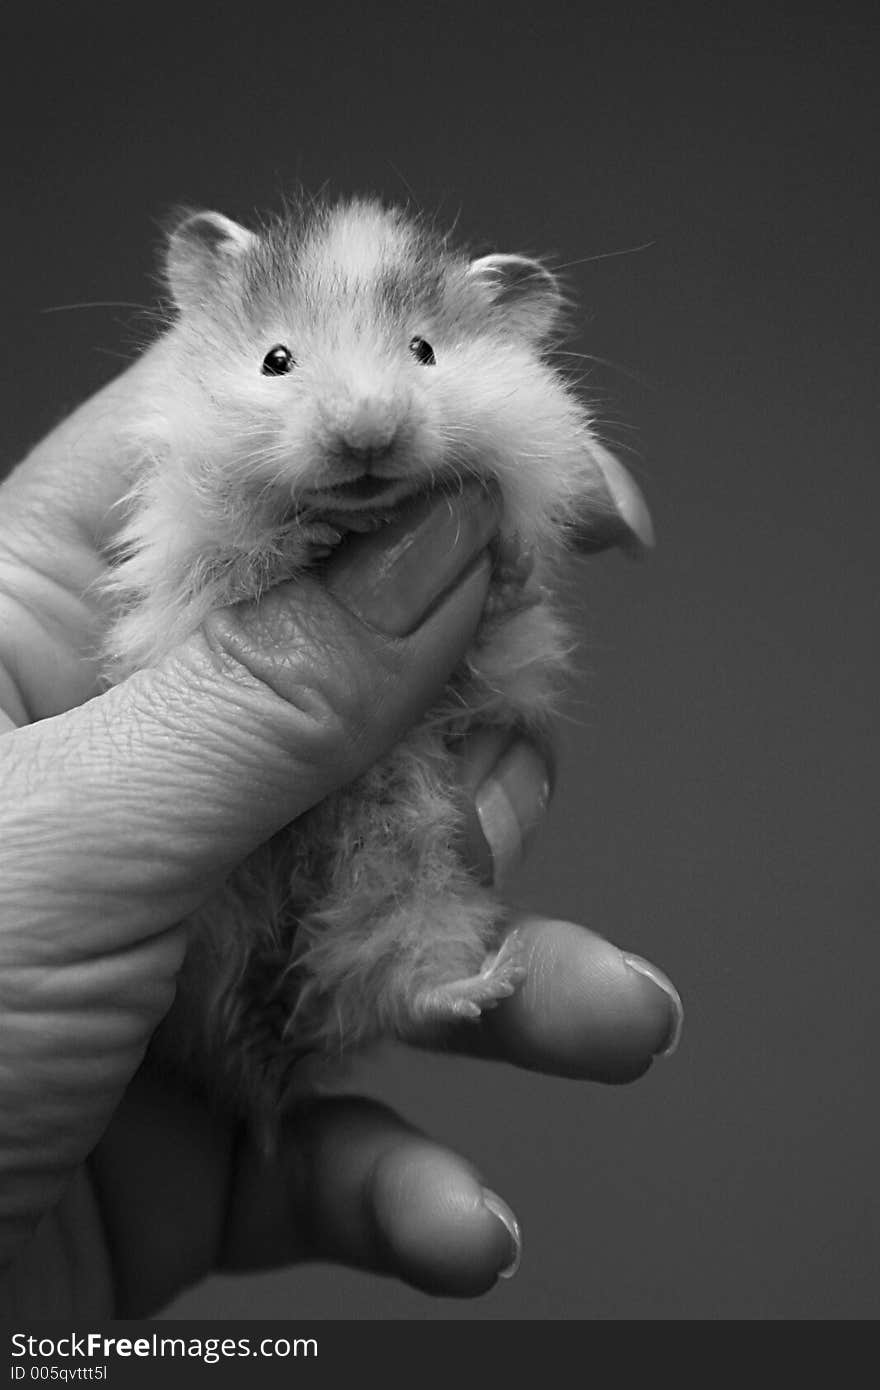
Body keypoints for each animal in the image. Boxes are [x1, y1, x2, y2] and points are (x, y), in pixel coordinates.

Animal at [99, 195, 628, 1123]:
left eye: (425, 351)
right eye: (275, 359)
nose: (367, 435)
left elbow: (507, 601)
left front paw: (509, 565)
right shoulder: (185, 567)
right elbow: (245, 562)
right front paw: (312, 541)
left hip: (408, 874)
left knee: (377, 988)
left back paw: (485, 985)